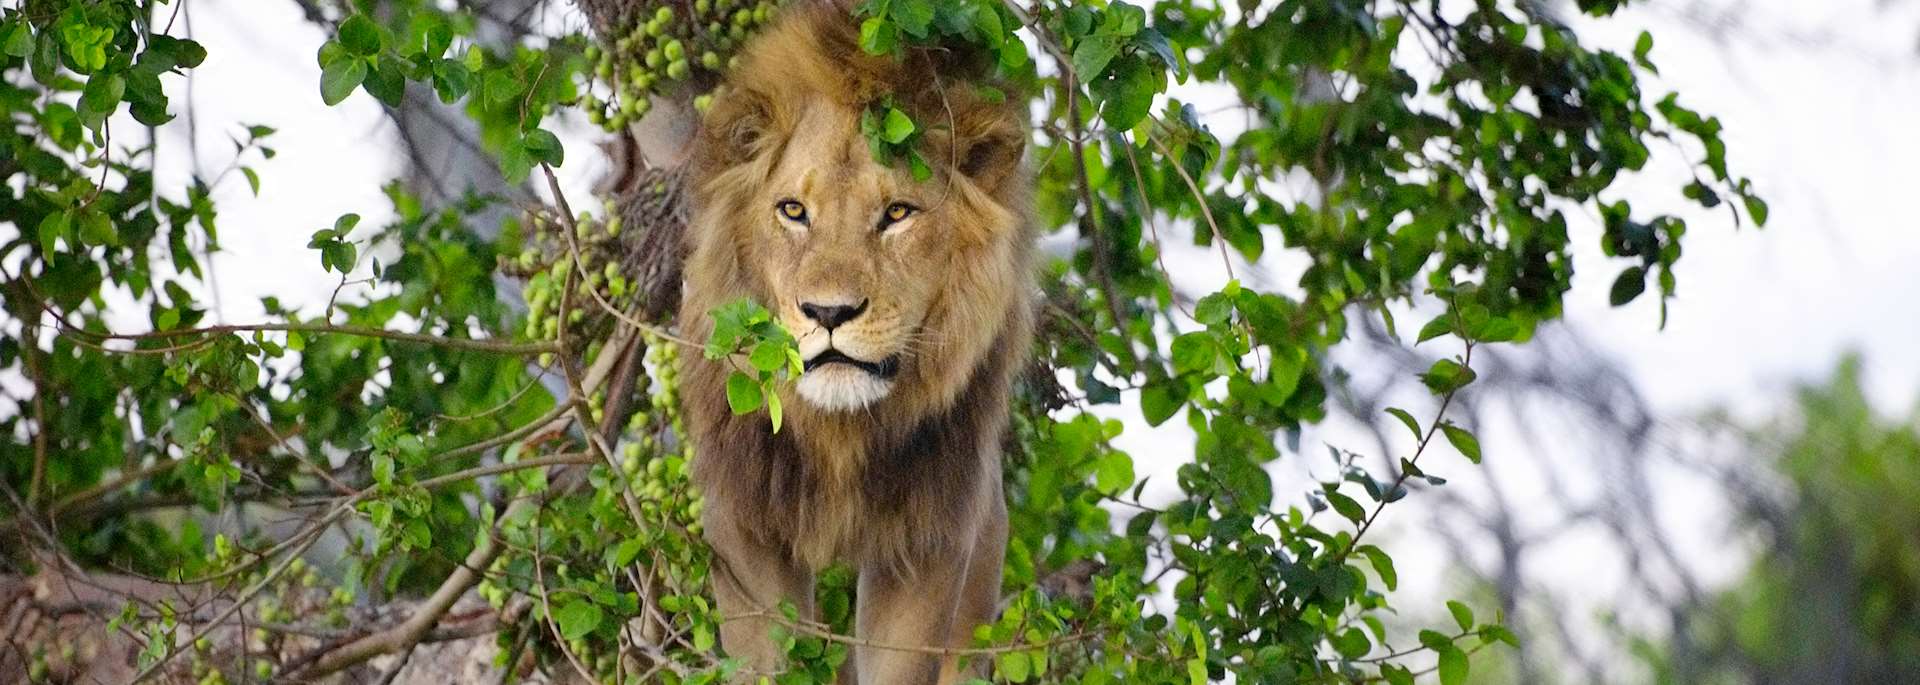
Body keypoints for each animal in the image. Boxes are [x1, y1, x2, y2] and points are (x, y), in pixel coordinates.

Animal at [675, 4, 1033, 684]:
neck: (839, 434)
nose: (829, 312)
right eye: (793, 211)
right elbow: (768, 657)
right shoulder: (744, 525)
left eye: (897, 214)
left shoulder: (931, 537)